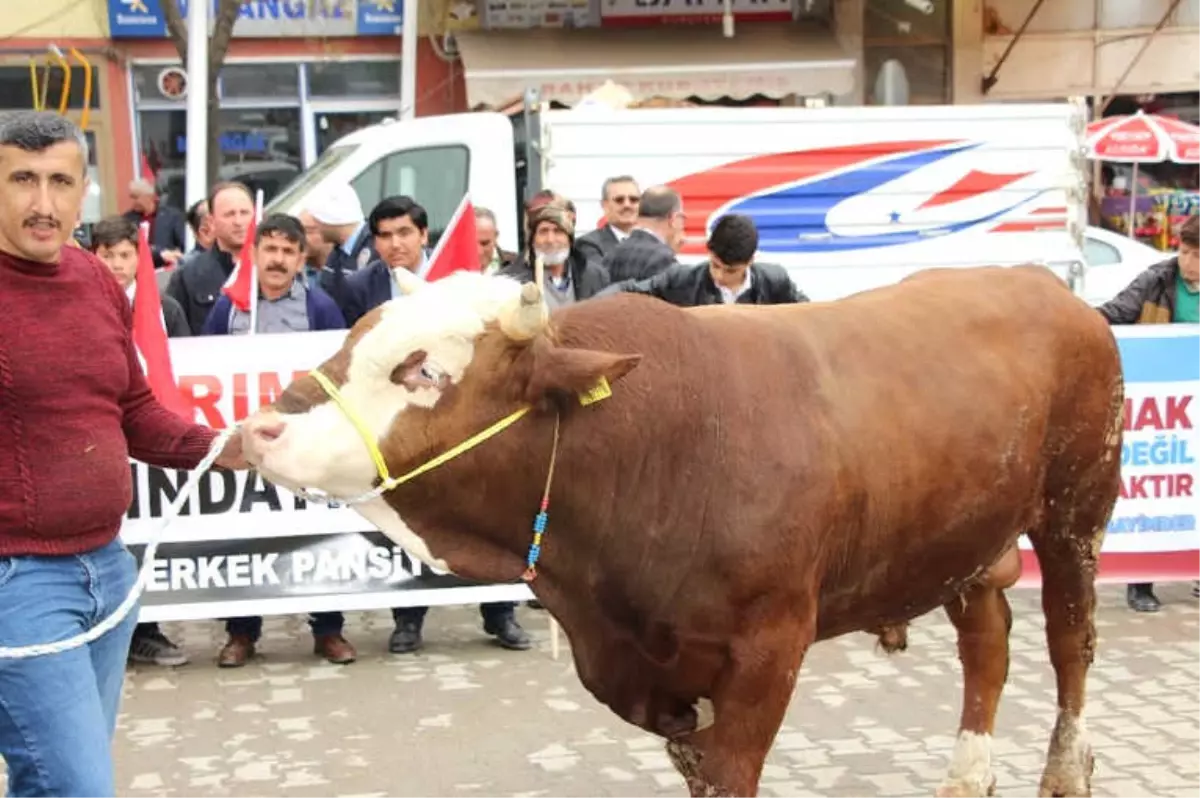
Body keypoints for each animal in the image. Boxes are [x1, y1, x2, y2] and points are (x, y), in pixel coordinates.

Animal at [241, 264, 1123, 792]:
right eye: (355, 337)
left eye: (422, 370)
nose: (258, 429)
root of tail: (1039, 281)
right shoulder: (646, 670)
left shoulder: (770, 647)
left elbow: (731, 771)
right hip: (964, 541)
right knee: (988, 647)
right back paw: (969, 776)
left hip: (1077, 512)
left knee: (1070, 645)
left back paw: (1066, 771)